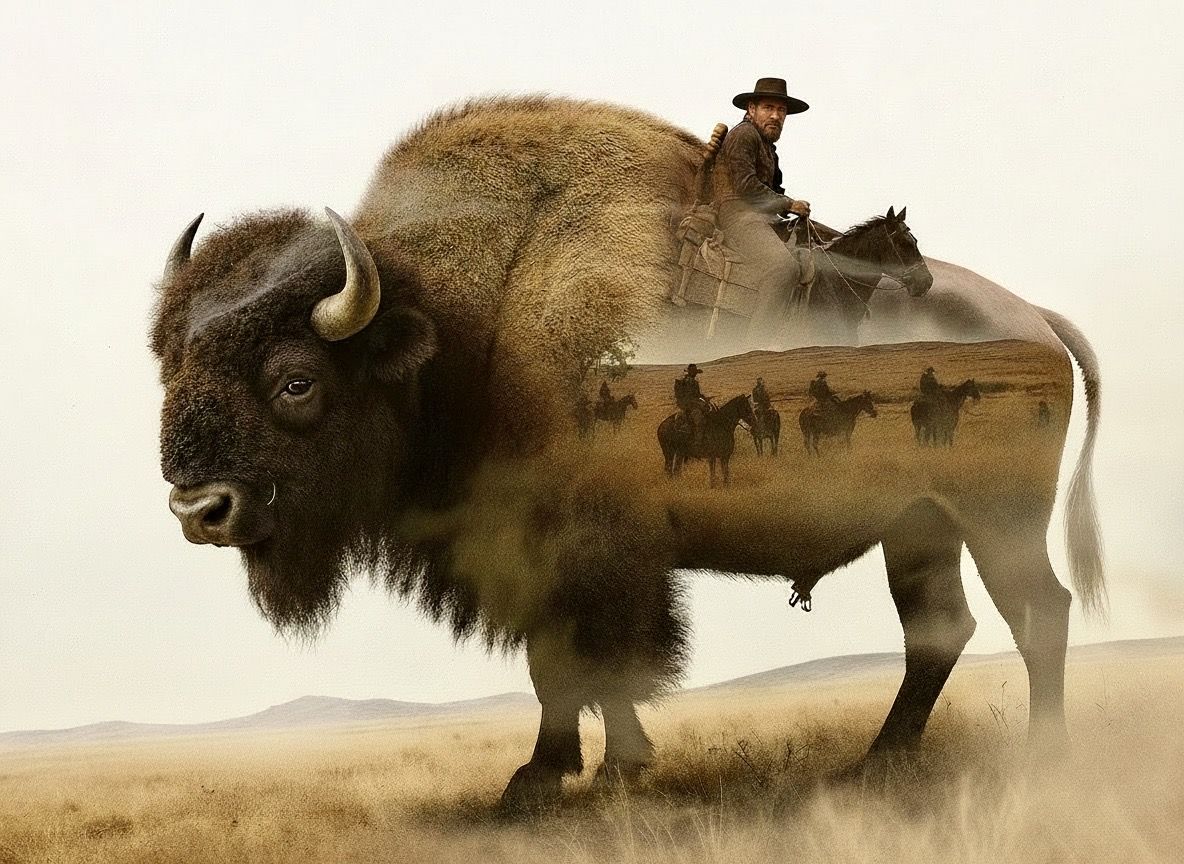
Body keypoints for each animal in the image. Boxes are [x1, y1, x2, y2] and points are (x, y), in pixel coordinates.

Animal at [153, 96, 1103, 811]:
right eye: (172, 366)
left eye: (297, 381)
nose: (201, 510)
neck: (466, 327)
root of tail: (1036, 319)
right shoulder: (552, 561)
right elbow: (575, 667)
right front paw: (609, 766)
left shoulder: (584, 552)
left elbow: (577, 665)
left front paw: (547, 778)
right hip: (920, 529)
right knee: (941, 630)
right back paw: (877, 763)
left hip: (999, 519)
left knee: (1037, 612)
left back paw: (1045, 756)